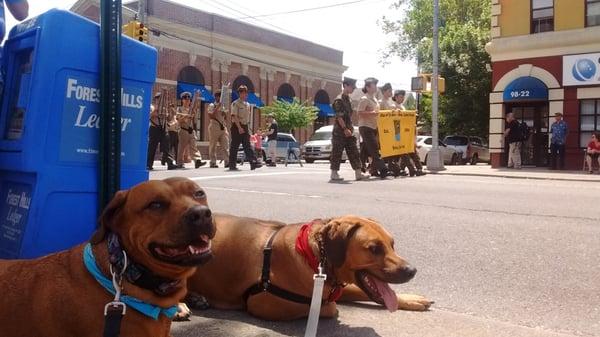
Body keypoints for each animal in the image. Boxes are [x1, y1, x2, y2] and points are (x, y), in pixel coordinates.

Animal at [186, 214, 432, 318]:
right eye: (374, 248)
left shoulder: (333, 287)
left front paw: (411, 299)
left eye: (392, 244)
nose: (411, 270)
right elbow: (330, 308)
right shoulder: (263, 303)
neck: (315, 256)